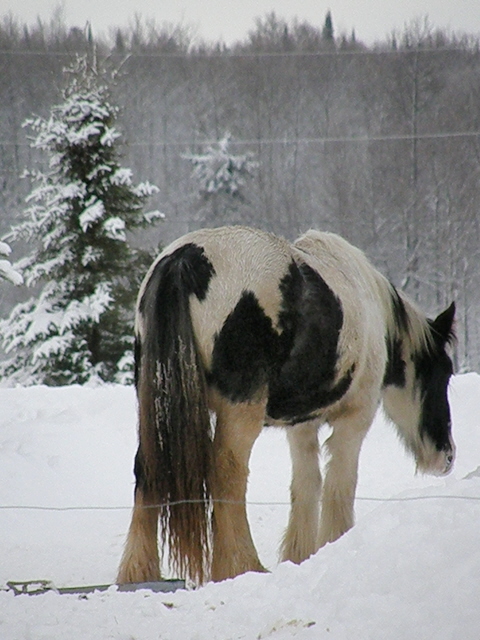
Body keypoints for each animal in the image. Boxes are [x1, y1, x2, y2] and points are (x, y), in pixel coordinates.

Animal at [115, 225, 454, 584]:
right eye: (444, 372)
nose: (446, 456)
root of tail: (184, 259)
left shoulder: (301, 425)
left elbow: (306, 485)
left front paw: (300, 554)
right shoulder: (353, 419)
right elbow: (339, 484)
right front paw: (334, 542)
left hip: (156, 407)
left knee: (147, 468)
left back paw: (138, 573)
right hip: (240, 409)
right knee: (227, 471)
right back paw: (240, 565)